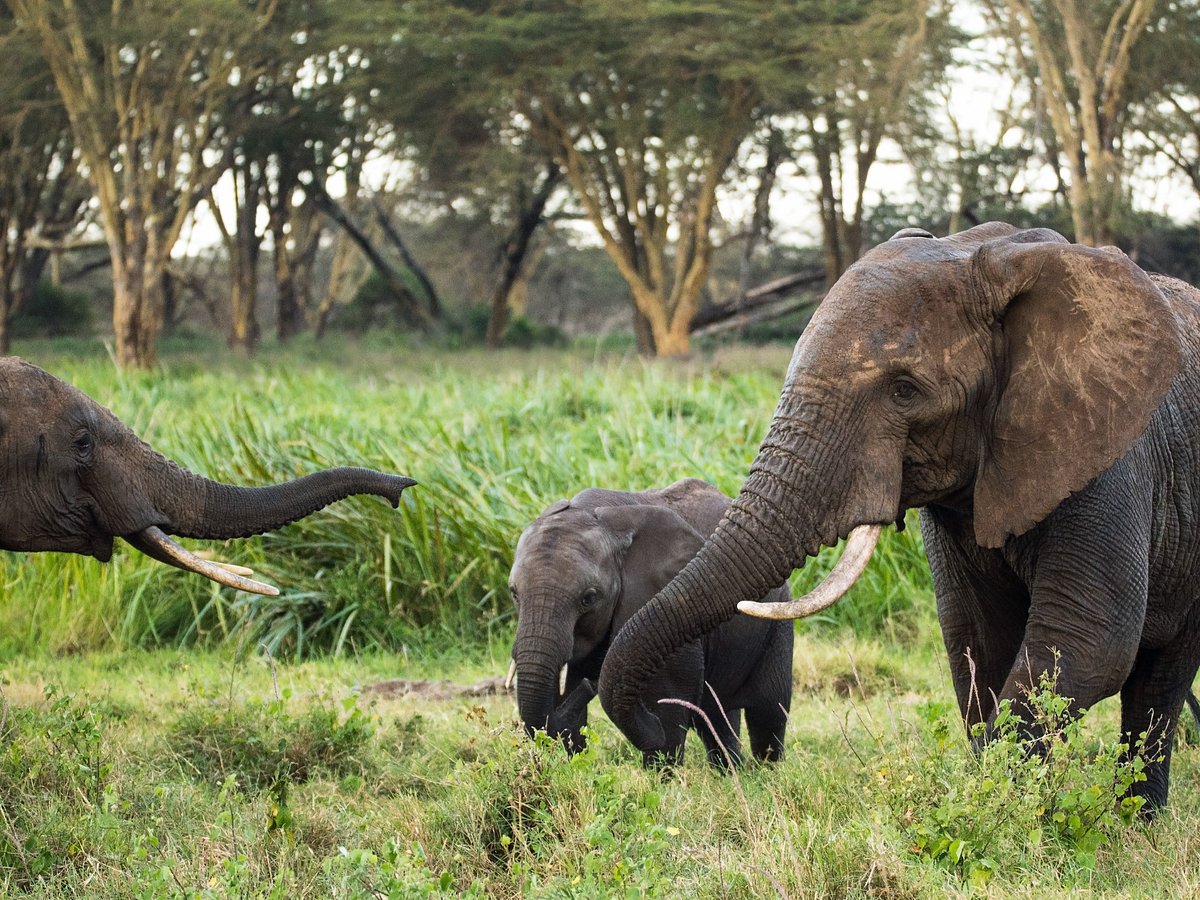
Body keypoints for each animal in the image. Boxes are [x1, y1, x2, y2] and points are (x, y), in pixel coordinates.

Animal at [508, 480, 796, 768]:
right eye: (514, 593)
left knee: (767, 711)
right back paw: (729, 771)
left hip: (777, 618)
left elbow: (669, 698)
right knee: (717, 716)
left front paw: (661, 774)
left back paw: (767, 771)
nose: (590, 685)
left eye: (588, 598)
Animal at [600, 222, 1200, 816]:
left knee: (1160, 676)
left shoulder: (1111, 451)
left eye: (904, 390)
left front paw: (990, 808)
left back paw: (1135, 821)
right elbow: (978, 640)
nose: (657, 737)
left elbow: (1085, 639)